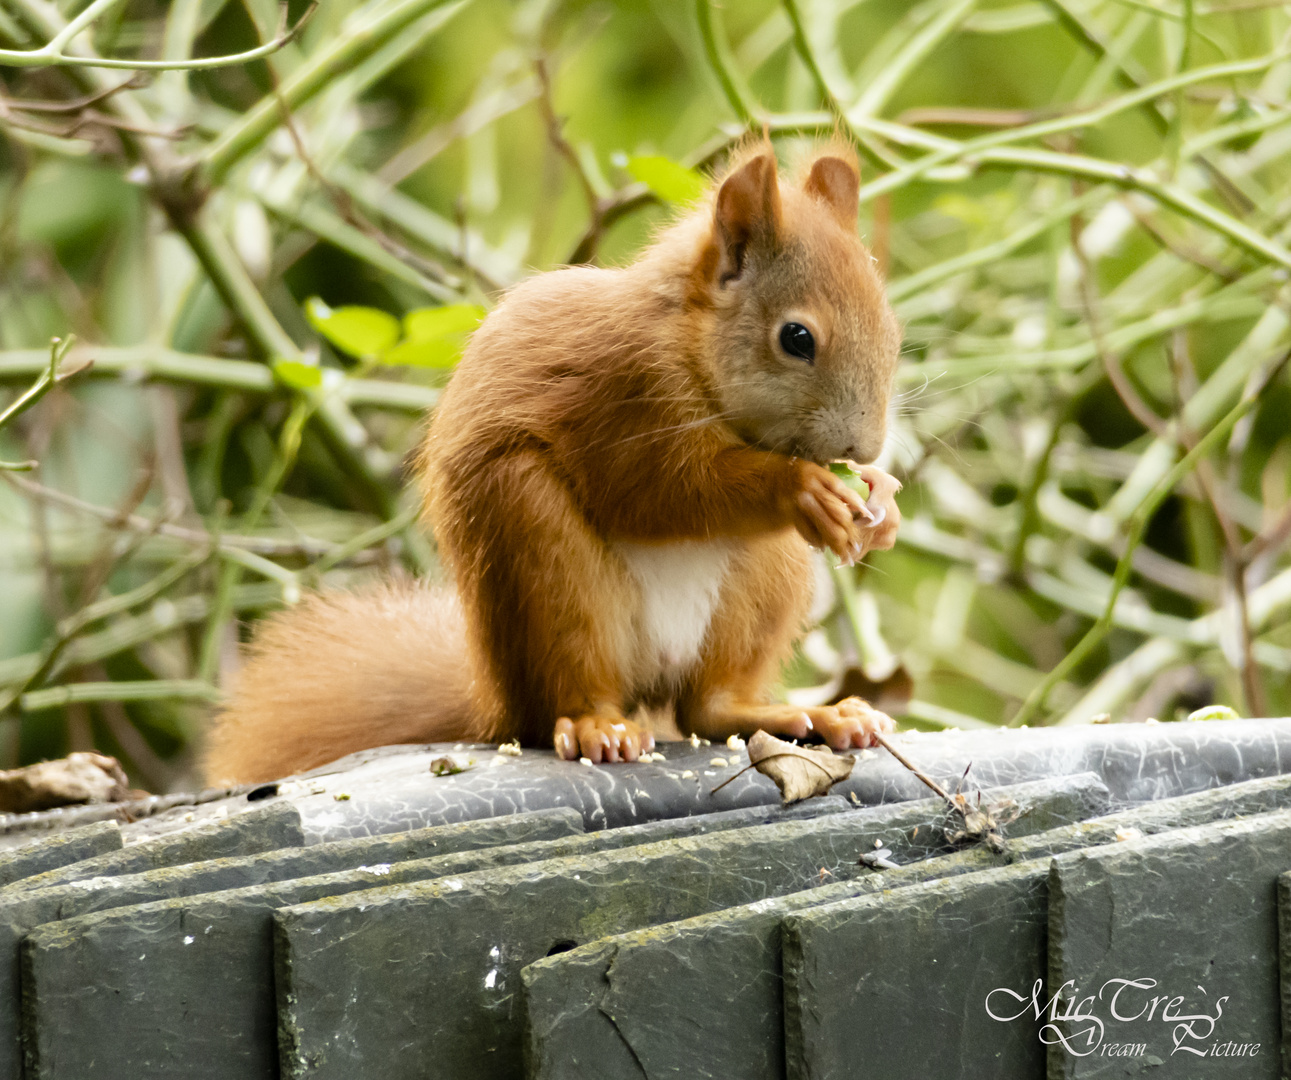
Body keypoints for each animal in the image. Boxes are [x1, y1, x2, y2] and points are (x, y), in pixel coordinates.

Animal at [206, 143, 903, 784]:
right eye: (796, 338)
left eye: (893, 332)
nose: (864, 449)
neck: (688, 342)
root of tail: (496, 701)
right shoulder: (623, 398)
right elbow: (659, 492)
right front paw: (801, 487)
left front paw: (884, 502)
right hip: (540, 552)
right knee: (574, 690)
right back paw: (597, 726)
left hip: (764, 580)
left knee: (709, 707)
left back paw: (804, 715)